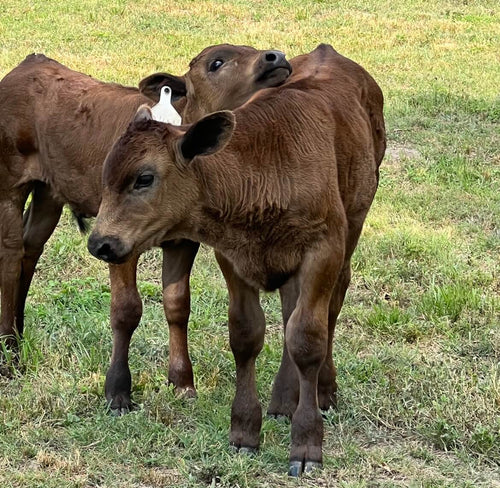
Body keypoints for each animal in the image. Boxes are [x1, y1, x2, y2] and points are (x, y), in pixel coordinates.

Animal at [0, 48, 292, 408]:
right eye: (216, 63)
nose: (275, 57)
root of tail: (30, 62)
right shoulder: (115, 238)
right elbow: (126, 309)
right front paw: (117, 390)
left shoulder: (183, 240)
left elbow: (178, 305)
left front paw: (182, 381)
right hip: (9, 184)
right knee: (10, 256)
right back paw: (9, 352)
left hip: (49, 193)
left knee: (31, 249)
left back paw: (18, 334)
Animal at [89, 44, 386, 472]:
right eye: (105, 177)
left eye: (144, 178)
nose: (99, 242)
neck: (268, 166)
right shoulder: (232, 256)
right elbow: (246, 335)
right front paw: (245, 431)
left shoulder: (324, 249)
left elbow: (307, 339)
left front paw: (307, 443)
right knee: (289, 310)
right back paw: (282, 400)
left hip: (353, 227)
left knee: (329, 309)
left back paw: (323, 390)